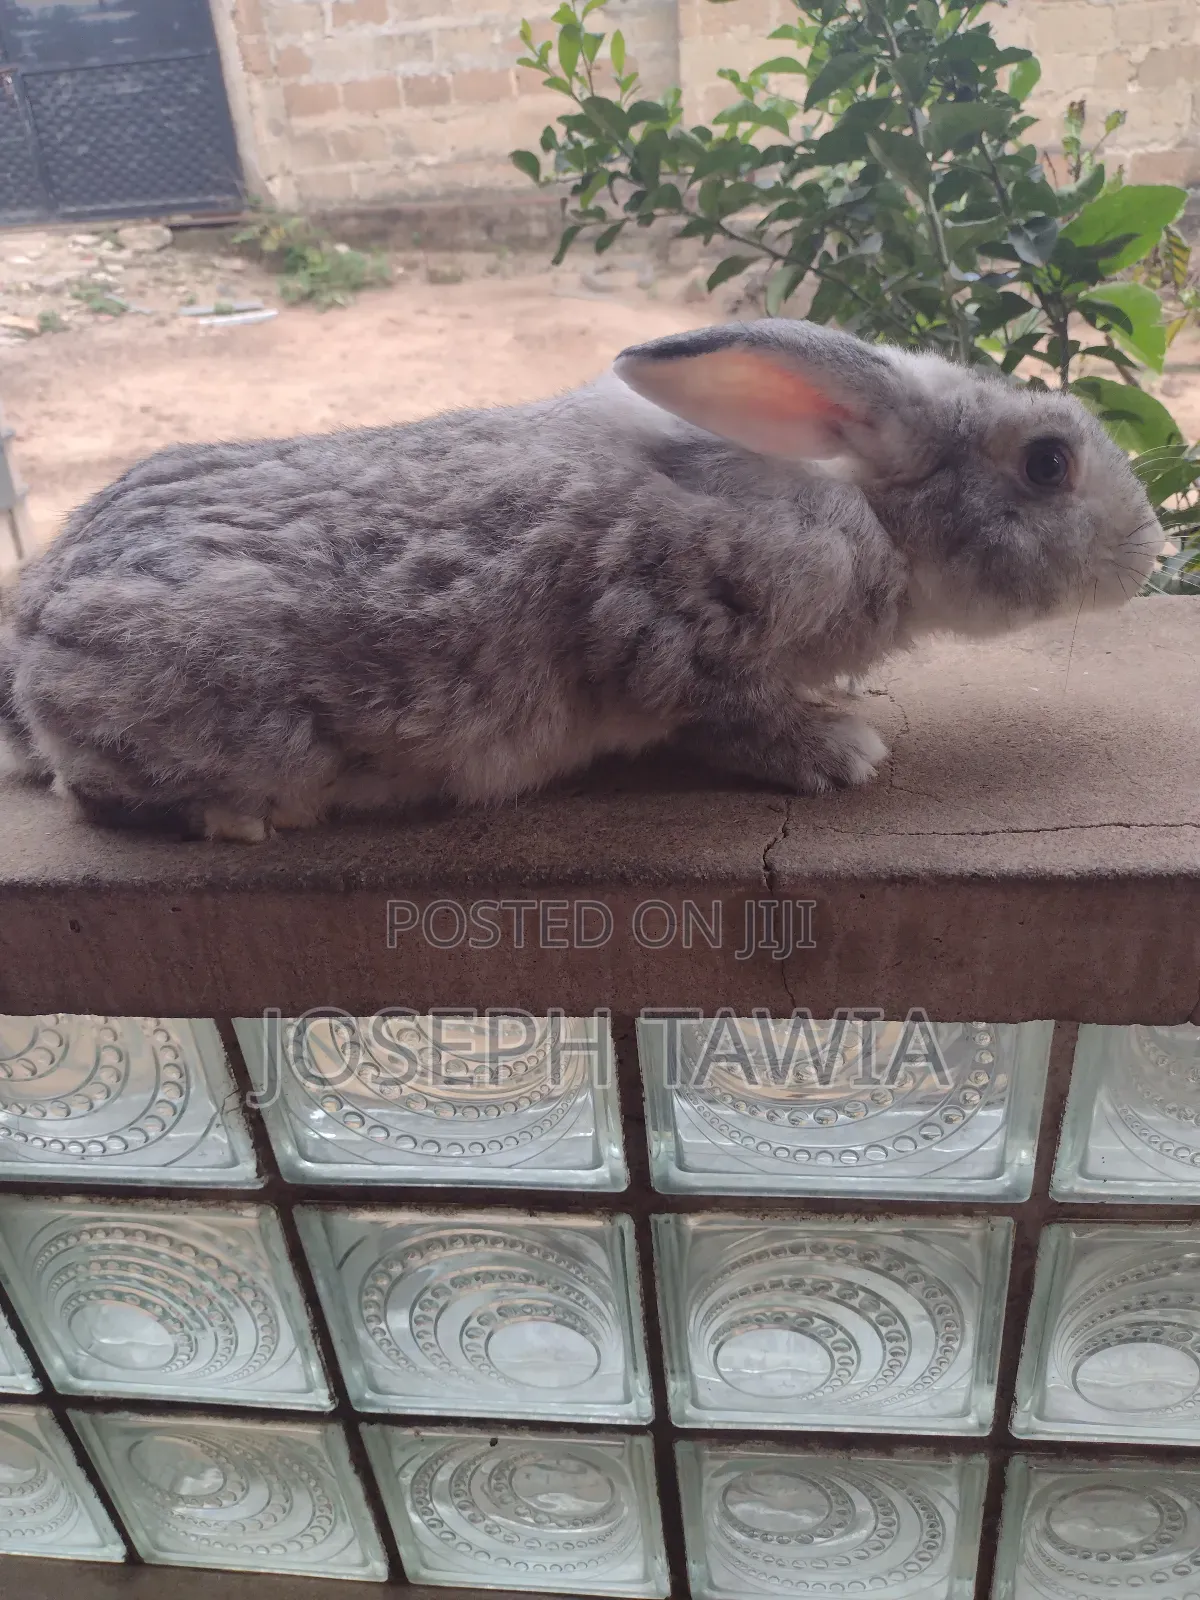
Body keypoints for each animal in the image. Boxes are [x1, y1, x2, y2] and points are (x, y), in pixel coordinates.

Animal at [0, 318, 1162, 842]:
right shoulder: (668, 630)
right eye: (1048, 463)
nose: (1152, 550)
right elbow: (730, 713)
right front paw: (840, 750)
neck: (869, 515)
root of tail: (34, 635)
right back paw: (240, 822)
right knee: (92, 794)